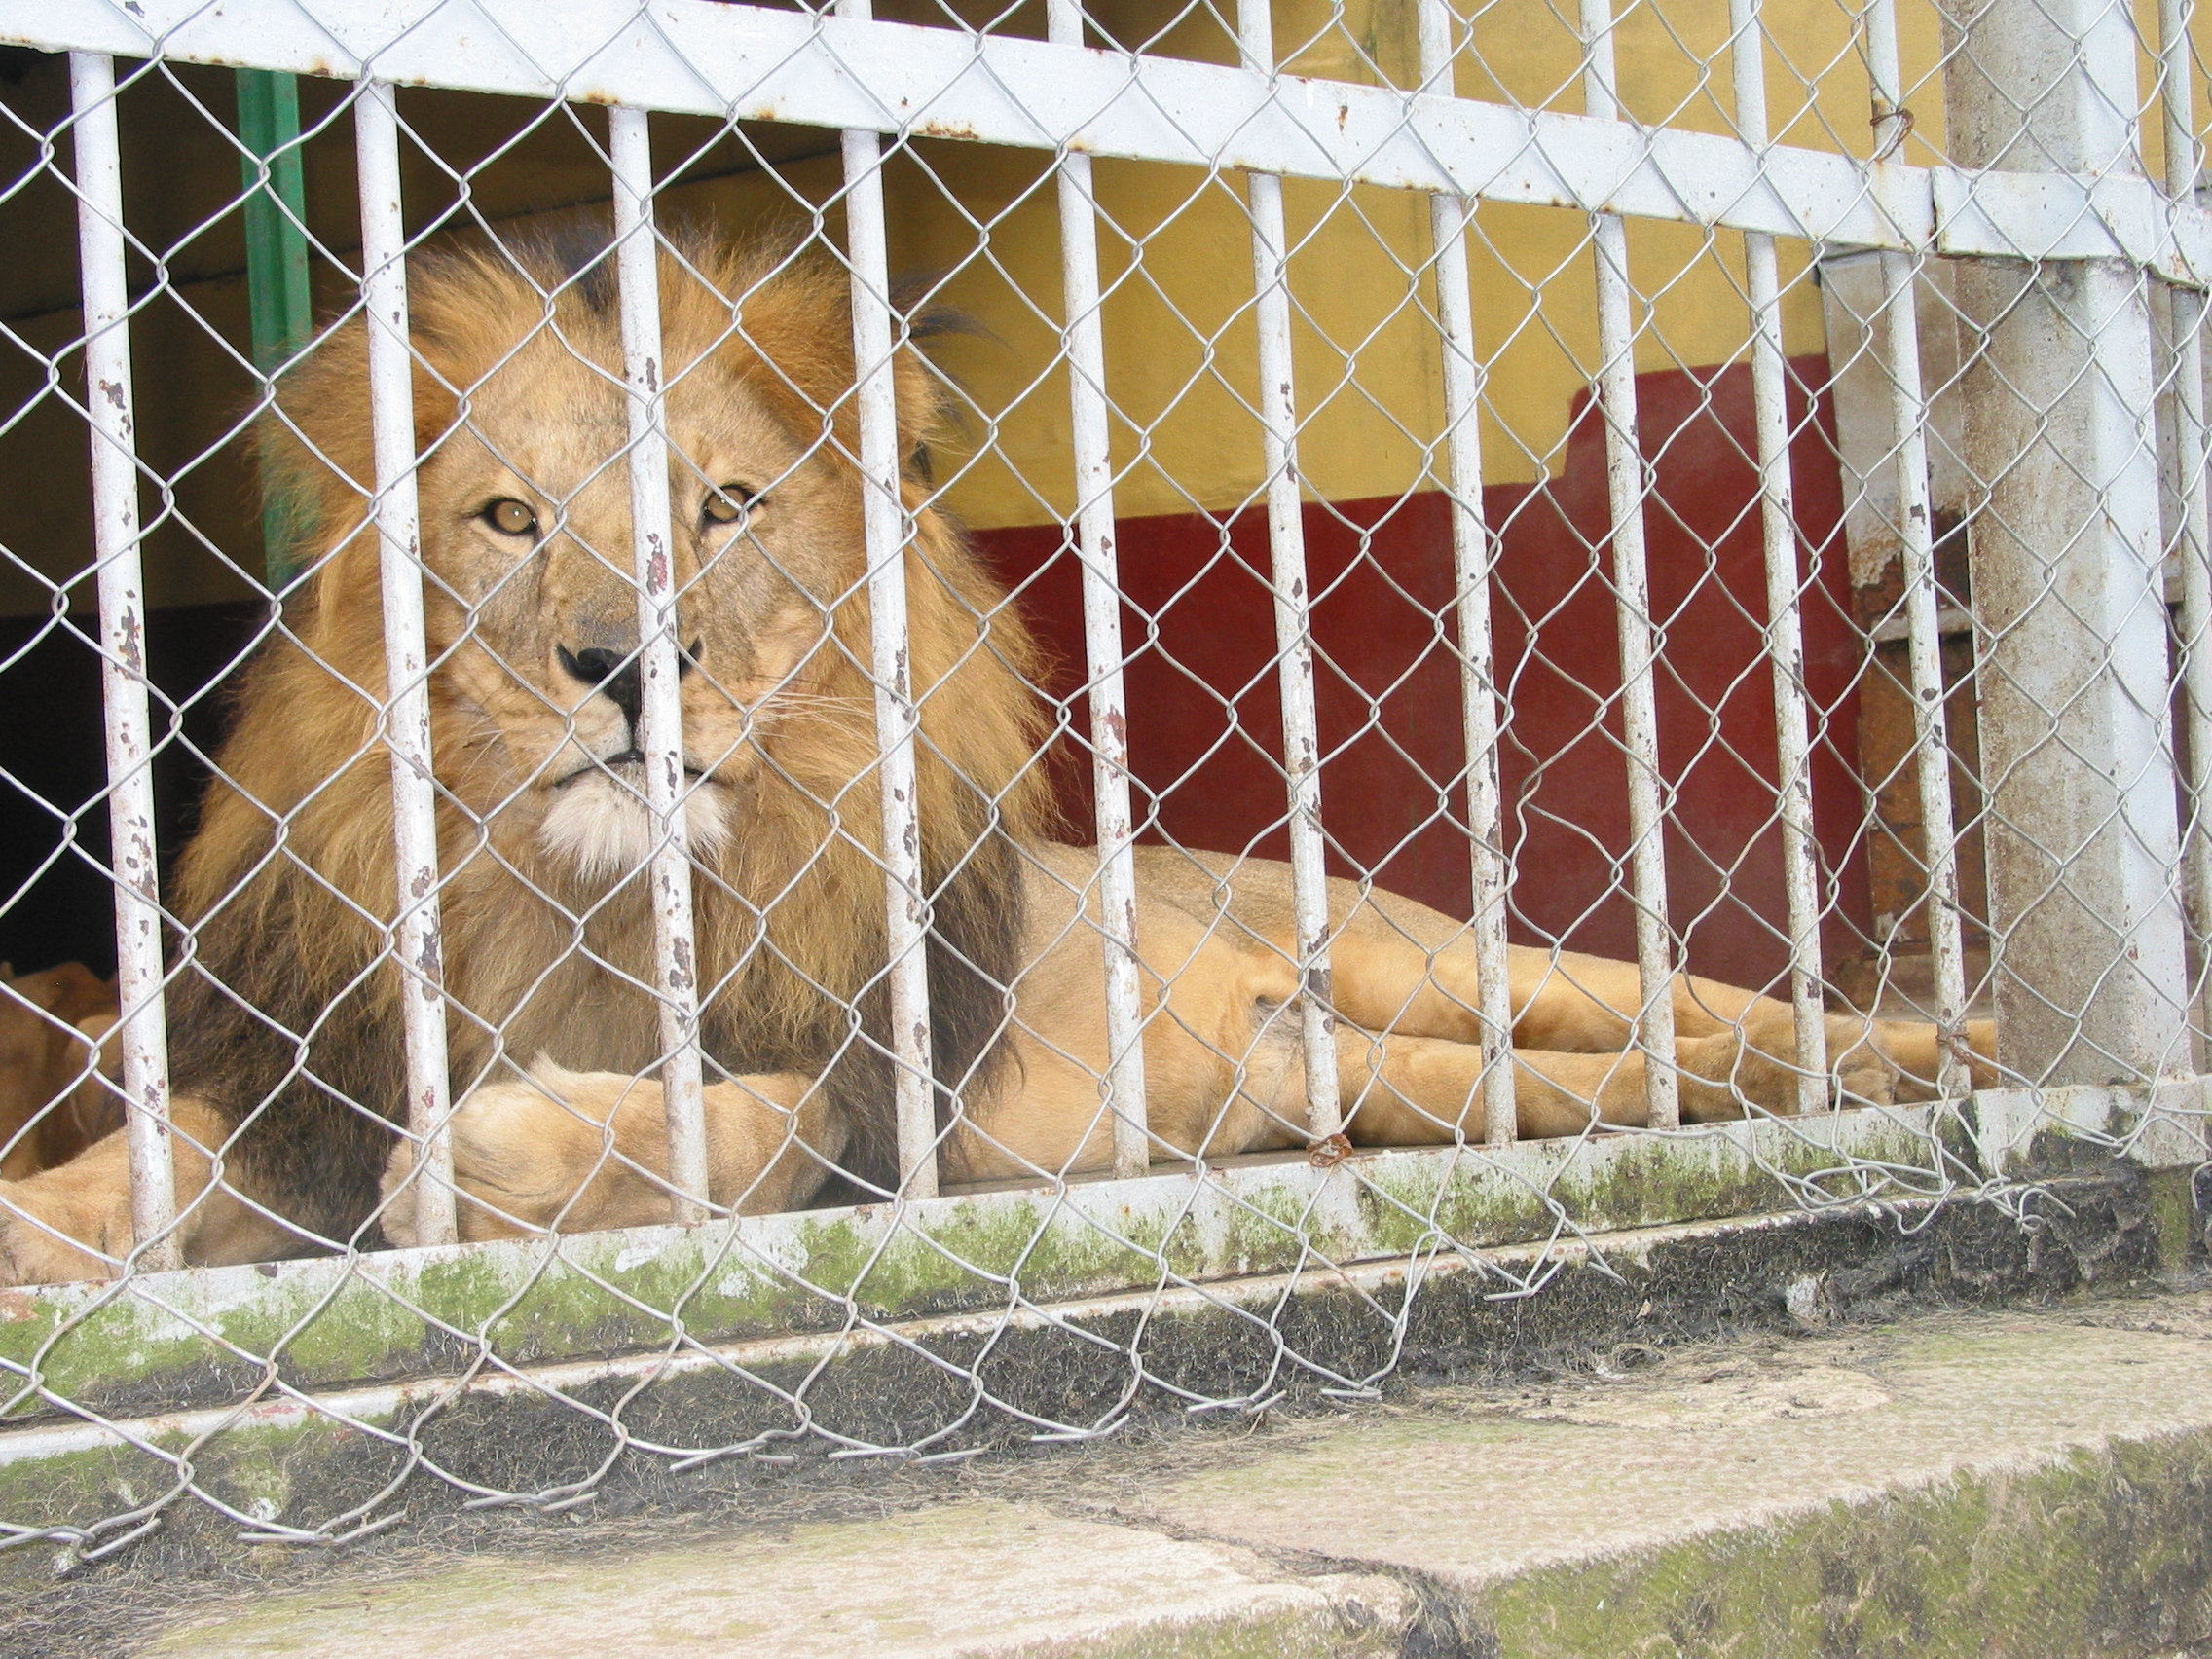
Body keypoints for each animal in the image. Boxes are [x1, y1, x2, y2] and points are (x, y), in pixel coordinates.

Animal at [0, 231, 1994, 1283]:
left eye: (722, 509)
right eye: (506, 519)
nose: (628, 666)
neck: (573, 900)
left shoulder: (882, 1100)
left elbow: (745, 1119)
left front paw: (503, 1155)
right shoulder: (305, 1082)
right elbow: (156, 1169)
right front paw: (41, 1231)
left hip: (1440, 956)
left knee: (1722, 1013)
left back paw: (1944, 1053)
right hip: (1380, 1070)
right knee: (1607, 1080)